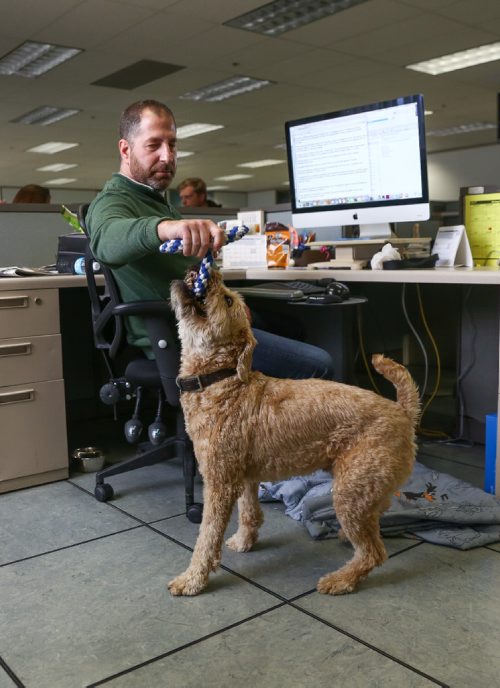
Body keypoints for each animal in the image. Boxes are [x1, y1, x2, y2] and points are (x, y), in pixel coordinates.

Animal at [167, 270, 418, 596]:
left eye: (227, 299)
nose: (207, 271)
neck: (221, 381)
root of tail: (404, 411)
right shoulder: (245, 476)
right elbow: (249, 513)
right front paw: (244, 542)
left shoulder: (219, 482)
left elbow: (207, 537)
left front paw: (192, 579)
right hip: (365, 484)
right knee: (377, 520)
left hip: (350, 490)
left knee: (373, 552)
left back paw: (341, 579)